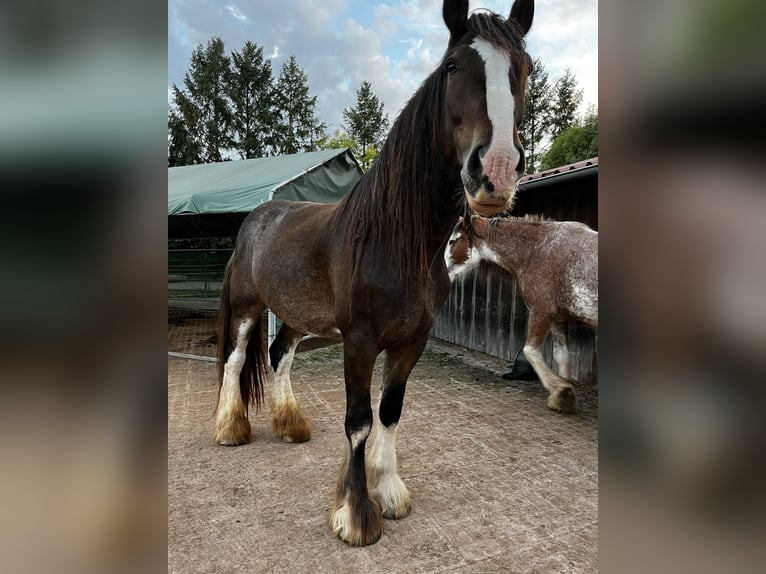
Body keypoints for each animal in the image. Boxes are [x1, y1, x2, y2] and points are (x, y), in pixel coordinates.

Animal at [214, 0, 535, 546]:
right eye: (453, 66)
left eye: (525, 69)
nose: (494, 171)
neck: (397, 242)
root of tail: (256, 219)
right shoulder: (360, 341)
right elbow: (359, 421)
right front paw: (356, 515)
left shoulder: (411, 341)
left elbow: (390, 412)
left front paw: (388, 491)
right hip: (246, 309)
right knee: (236, 363)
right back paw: (230, 430)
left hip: (295, 316)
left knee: (279, 357)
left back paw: (290, 423)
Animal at [445, 214, 597, 413]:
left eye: (453, 241)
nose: (443, 274)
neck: (538, 249)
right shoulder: (558, 318)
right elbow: (562, 356)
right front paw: (564, 398)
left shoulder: (541, 313)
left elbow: (530, 351)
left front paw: (561, 390)